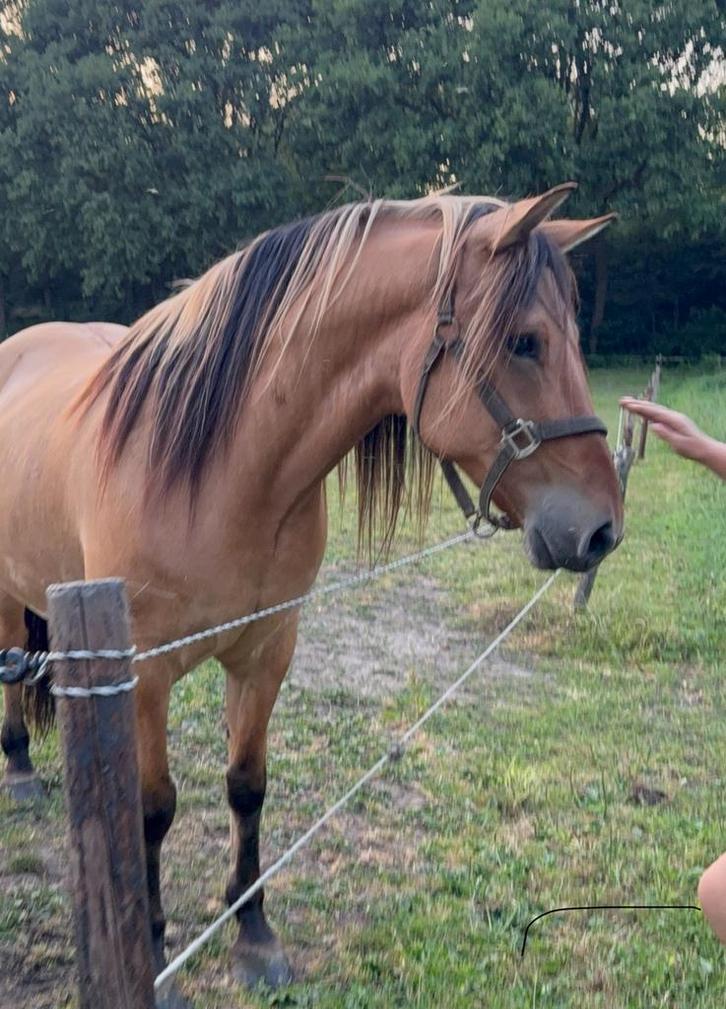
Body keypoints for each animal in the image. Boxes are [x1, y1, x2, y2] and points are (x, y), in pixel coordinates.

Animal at [0, 183, 623, 998]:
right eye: (525, 342)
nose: (602, 530)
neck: (217, 471)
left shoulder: (268, 649)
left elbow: (246, 785)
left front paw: (253, 933)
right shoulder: (143, 674)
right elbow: (153, 809)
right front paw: (157, 952)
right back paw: (17, 769)